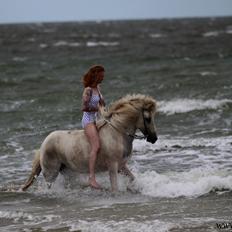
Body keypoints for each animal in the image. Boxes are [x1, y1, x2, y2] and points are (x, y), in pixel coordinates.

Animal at [21, 93, 158, 191]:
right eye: (147, 118)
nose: (154, 138)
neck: (117, 132)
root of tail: (44, 143)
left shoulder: (121, 166)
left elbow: (132, 179)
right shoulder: (113, 166)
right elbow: (115, 188)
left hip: (67, 171)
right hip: (51, 173)